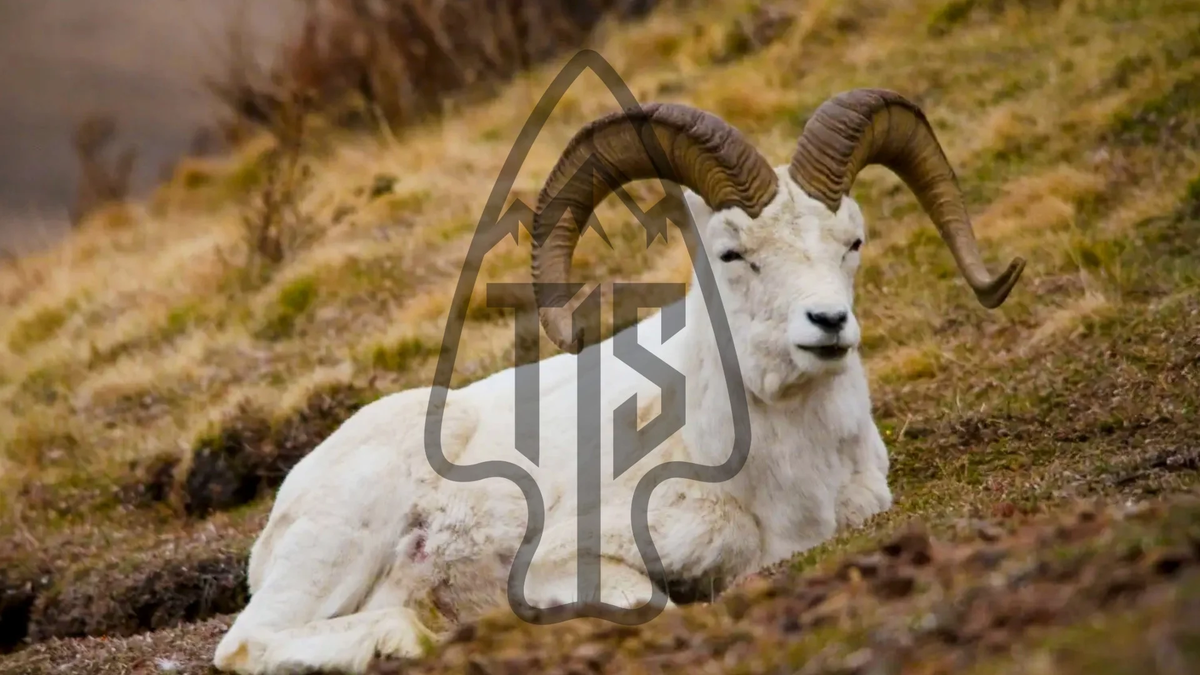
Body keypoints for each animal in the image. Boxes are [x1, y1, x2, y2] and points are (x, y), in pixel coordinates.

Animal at [212, 88, 1024, 674]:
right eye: (732, 253)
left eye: (852, 242)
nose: (827, 323)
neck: (784, 481)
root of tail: (285, 501)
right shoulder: (568, 564)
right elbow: (657, 606)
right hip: (344, 534)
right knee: (249, 642)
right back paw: (409, 636)